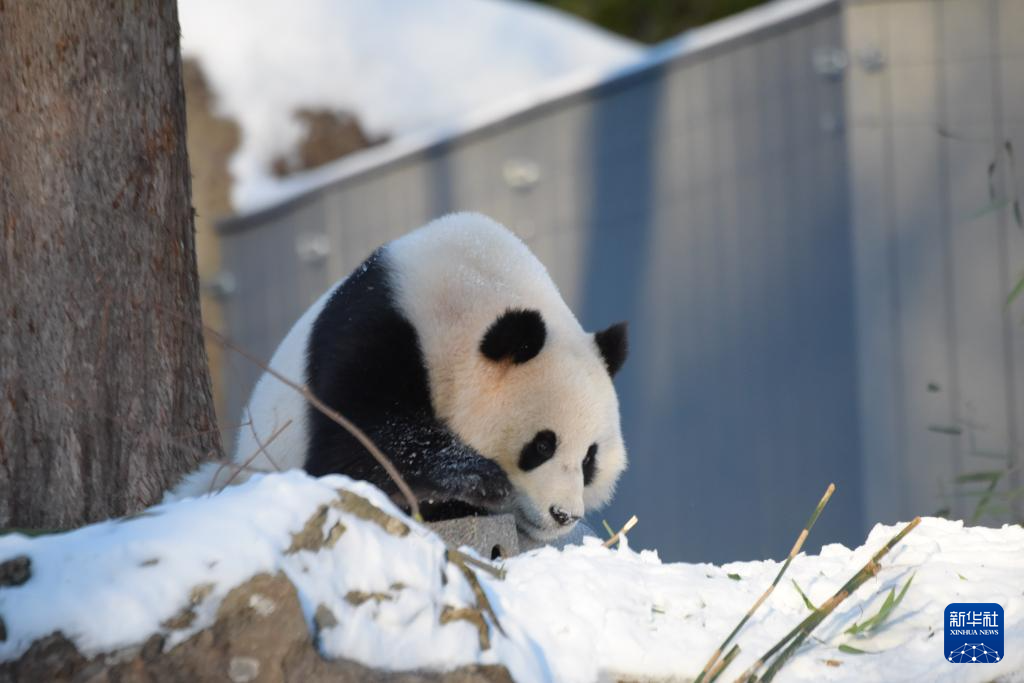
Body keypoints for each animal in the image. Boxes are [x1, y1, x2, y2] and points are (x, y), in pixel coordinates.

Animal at [169, 214, 622, 544]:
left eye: (589, 459)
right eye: (541, 445)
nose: (564, 514)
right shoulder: (378, 331)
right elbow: (354, 450)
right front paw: (477, 477)